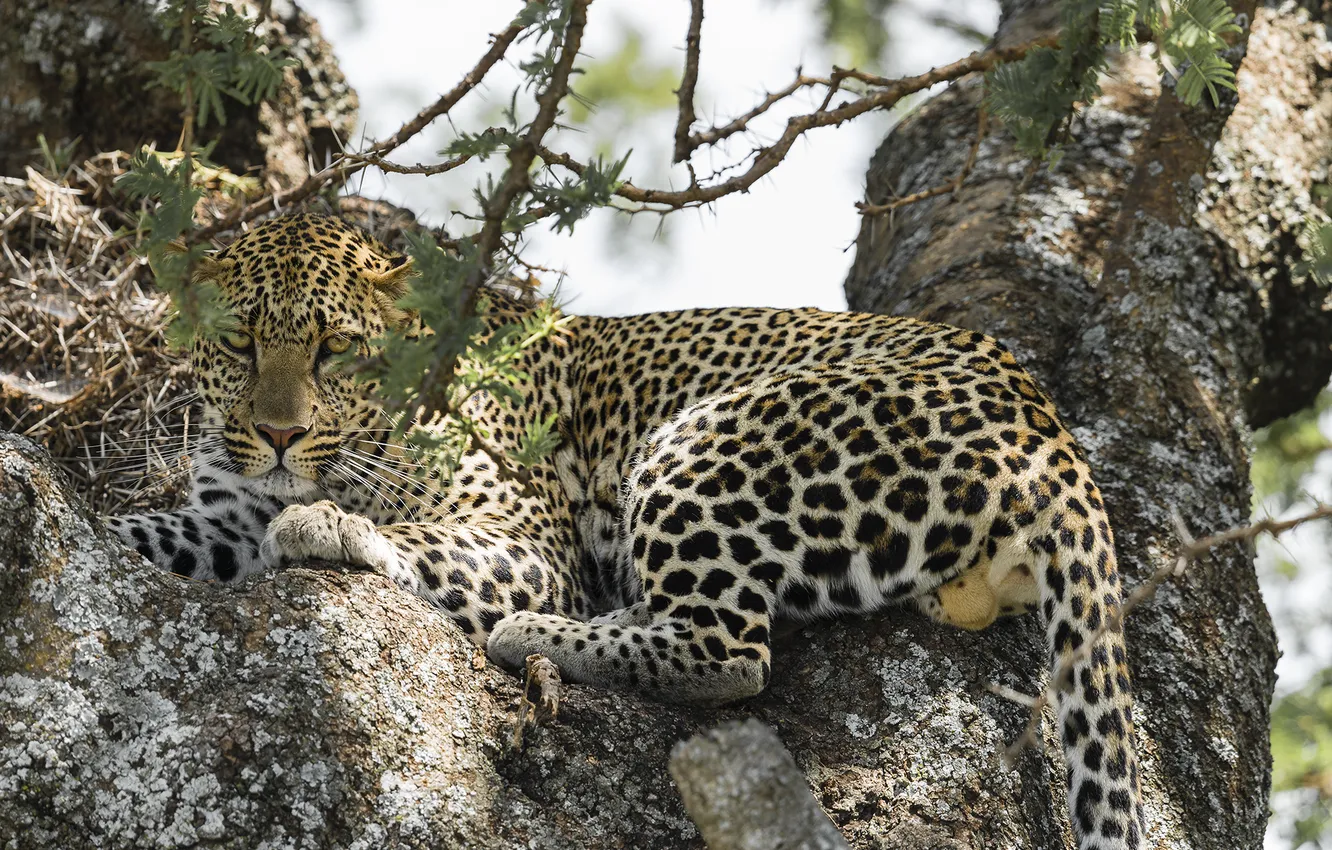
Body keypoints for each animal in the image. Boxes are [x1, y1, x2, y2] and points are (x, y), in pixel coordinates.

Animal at [105, 213, 1144, 849]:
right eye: (239, 344)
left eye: (335, 348)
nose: (279, 434)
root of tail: (1047, 426)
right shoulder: (221, 519)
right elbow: (146, 531)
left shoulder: (524, 538)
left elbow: (410, 537)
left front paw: (326, 522)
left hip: (710, 440)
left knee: (729, 650)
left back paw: (541, 636)